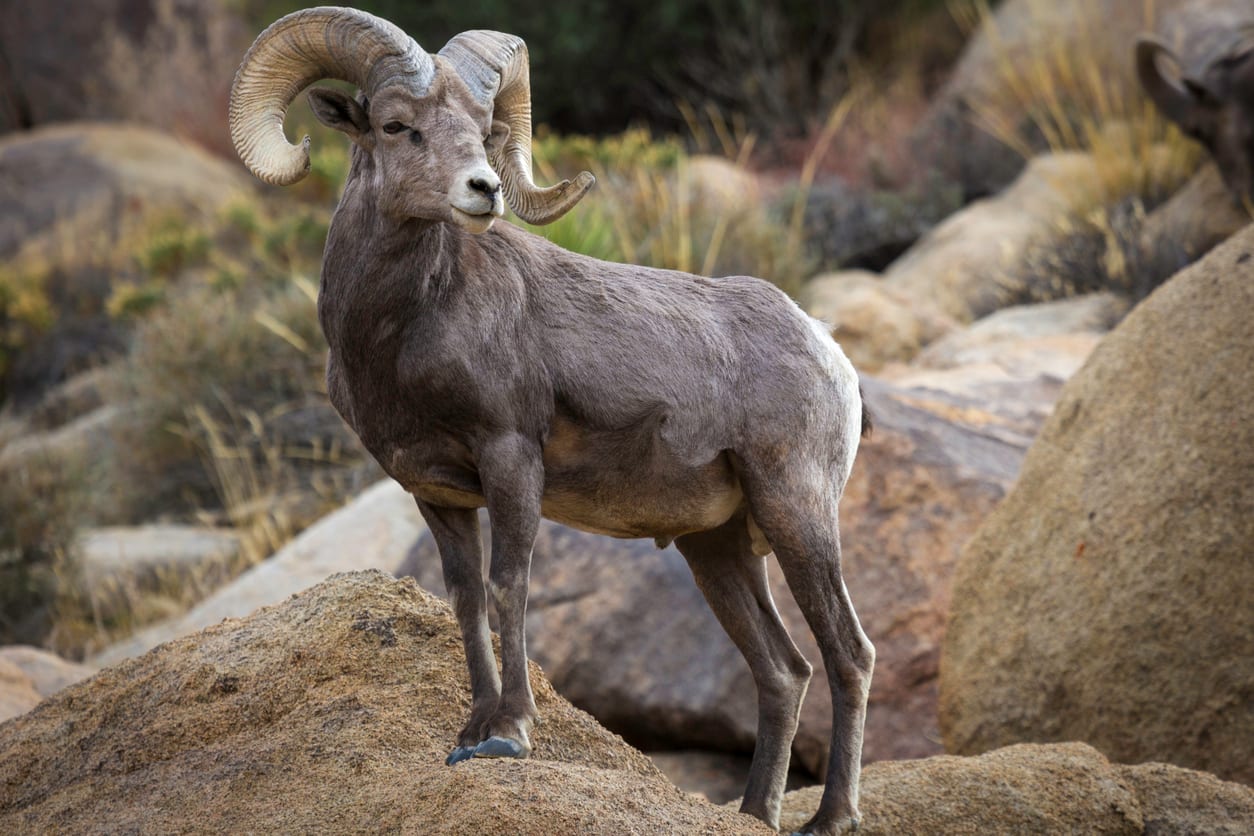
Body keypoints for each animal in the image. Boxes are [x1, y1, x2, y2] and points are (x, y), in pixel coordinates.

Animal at [229, 7, 873, 835]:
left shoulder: (511, 461)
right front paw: (471, 734)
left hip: (796, 513)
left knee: (848, 654)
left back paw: (832, 817)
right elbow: (467, 598)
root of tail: (828, 350)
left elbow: (511, 586)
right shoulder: (438, 493)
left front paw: (510, 733)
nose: (483, 190)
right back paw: (756, 812)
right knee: (783, 670)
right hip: (717, 547)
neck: (404, 331)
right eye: (399, 125)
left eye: (482, 130)